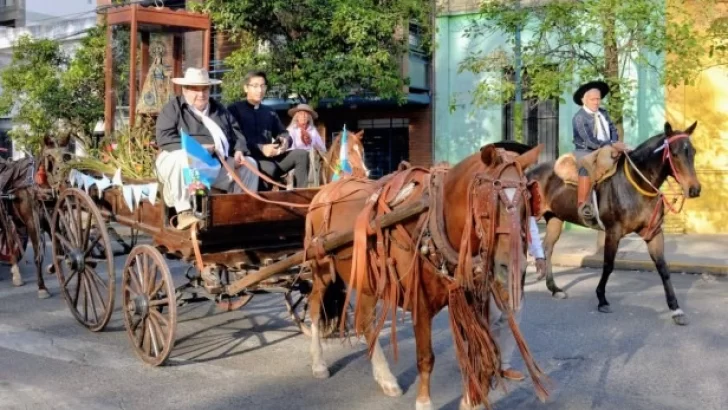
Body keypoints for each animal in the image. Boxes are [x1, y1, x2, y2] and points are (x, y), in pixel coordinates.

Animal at [304, 144, 548, 410]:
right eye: (487, 205)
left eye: (527, 204)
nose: (512, 268)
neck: (434, 220)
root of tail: (324, 191)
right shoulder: (419, 300)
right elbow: (426, 357)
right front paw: (424, 402)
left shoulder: (467, 295)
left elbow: (475, 348)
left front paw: (470, 400)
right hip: (321, 268)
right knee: (315, 308)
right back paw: (319, 363)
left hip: (367, 280)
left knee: (365, 323)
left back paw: (385, 377)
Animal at [528, 120, 704, 326]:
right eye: (674, 154)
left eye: (693, 151)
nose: (694, 189)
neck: (636, 184)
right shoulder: (613, 232)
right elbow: (608, 265)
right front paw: (602, 299)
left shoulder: (653, 233)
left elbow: (663, 268)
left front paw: (676, 309)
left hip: (555, 219)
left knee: (547, 248)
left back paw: (554, 289)